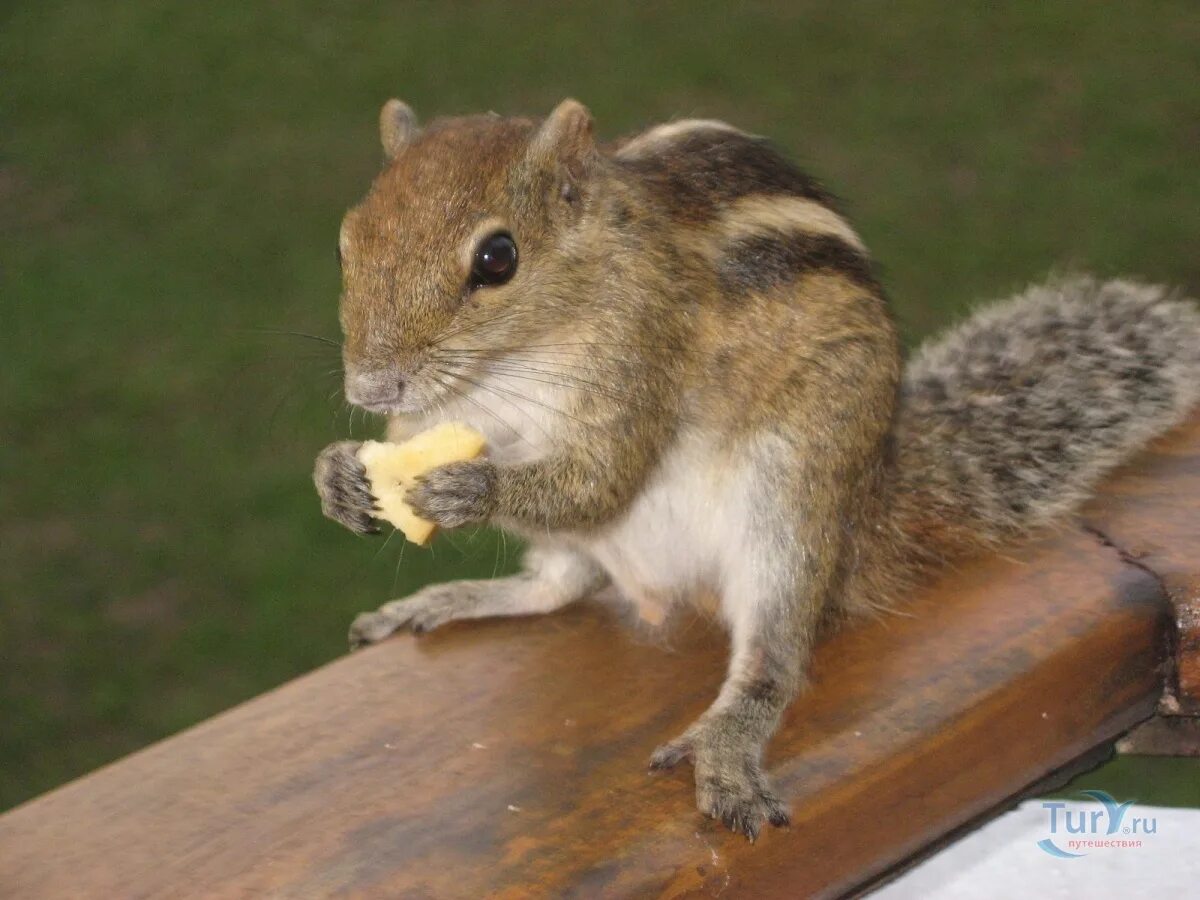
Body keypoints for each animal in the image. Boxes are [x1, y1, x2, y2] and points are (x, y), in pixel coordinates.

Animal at [312, 100, 1200, 844]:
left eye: (498, 259)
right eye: (347, 242)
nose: (370, 386)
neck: (512, 366)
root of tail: (868, 513)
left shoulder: (642, 362)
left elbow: (600, 479)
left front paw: (470, 488)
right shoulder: (440, 416)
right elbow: (419, 442)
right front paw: (339, 476)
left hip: (791, 502)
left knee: (772, 660)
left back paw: (727, 741)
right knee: (563, 585)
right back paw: (449, 599)